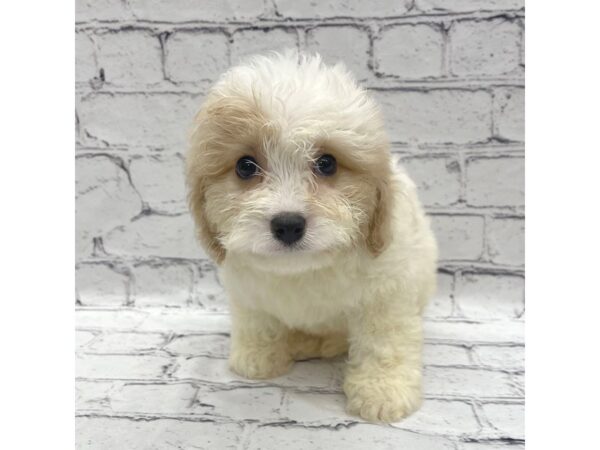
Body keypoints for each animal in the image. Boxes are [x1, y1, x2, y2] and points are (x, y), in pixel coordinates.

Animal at [185, 51, 438, 422]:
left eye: (327, 163)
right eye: (245, 166)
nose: (288, 224)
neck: (305, 270)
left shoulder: (387, 295)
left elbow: (383, 343)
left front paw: (383, 392)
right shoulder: (247, 292)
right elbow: (257, 322)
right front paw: (257, 359)